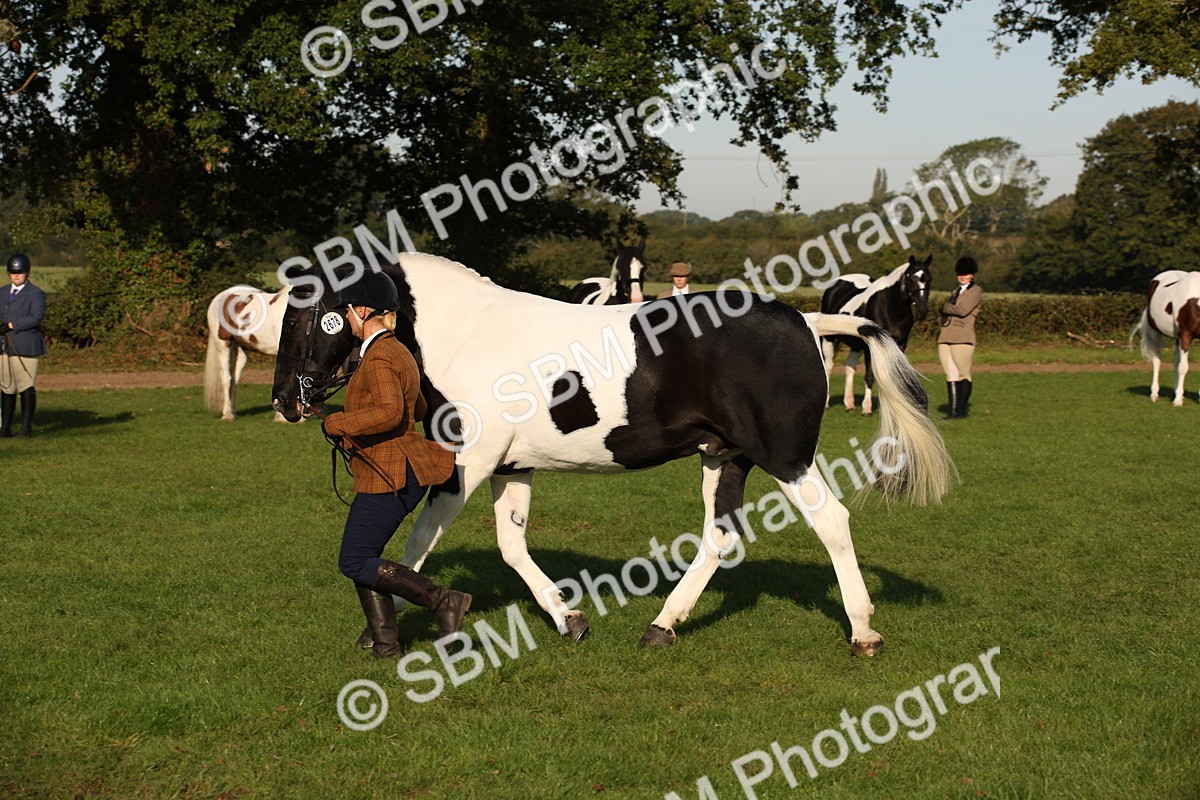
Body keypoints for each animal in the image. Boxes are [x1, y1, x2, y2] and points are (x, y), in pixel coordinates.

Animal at [204, 284, 291, 420]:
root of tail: (220, 296)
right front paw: (283, 418)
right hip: (223, 345)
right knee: (226, 378)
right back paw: (227, 414)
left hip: (242, 350)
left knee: (234, 379)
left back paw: (233, 412)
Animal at [820, 255, 933, 416]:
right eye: (911, 277)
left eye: (929, 278)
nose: (923, 309)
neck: (891, 307)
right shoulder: (870, 346)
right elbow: (869, 376)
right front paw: (867, 408)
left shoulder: (901, 345)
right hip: (829, 339)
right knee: (828, 366)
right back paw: (827, 404)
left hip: (856, 344)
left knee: (849, 366)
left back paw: (849, 404)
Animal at [1131, 270, 1200, 405]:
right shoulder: (1186, 335)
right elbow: (1183, 367)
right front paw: (1177, 401)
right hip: (1155, 332)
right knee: (1156, 360)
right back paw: (1154, 394)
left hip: (1177, 336)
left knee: (1176, 359)